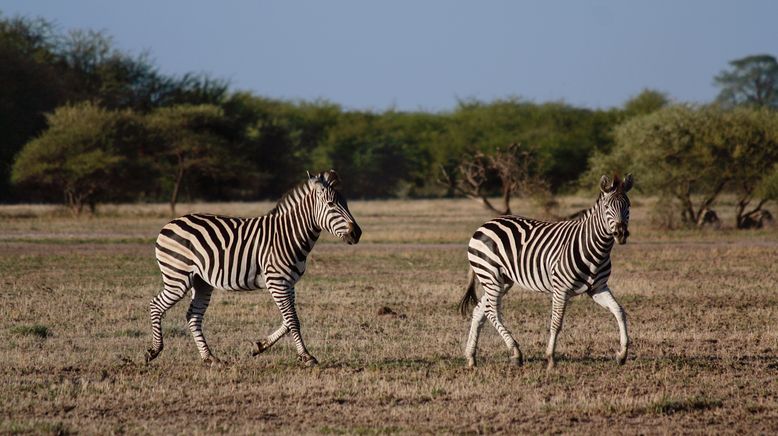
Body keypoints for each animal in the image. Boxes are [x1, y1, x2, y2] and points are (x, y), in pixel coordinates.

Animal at [144, 169, 360, 366]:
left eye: (346, 204)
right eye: (331, 205)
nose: (357, 233)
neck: (288, 235)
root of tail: (169, 223)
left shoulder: (288, 283)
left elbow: (288, 320)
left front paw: (259, 346)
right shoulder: (277, 281)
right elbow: (293, 320)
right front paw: (306, 356)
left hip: (201, 281)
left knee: (193, 316)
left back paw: (210, 358)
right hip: (178, 277)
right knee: (156, 305)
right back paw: (154, 351)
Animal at [460, 174, 632, 368]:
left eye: (628, 205)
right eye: (607, 207)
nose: (621, 233)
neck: (594, 249)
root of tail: (484, 225)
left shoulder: (598, 288)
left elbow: (619, 311)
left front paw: (622, 354)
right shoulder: (561, 289)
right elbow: (556, 323)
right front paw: (550, 358)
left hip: (502, 280)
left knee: (479, 311)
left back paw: (471, 357)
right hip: (490, 275)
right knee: (491, 312)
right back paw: (515, 352)